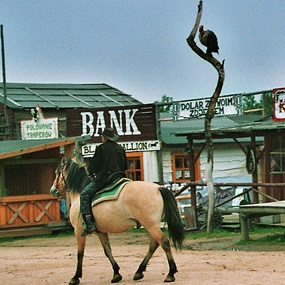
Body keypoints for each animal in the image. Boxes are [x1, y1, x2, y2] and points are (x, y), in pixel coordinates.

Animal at [50, 156, 184, 282]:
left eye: (57, 172)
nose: (53, 190)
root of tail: (158, 188)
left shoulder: (78, 231)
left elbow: (80, 253)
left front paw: (75, 277)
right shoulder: (101, 232)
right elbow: (107, 251)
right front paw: (116, 274)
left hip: (151, 225)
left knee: (164, 242)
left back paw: (170, 273)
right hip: (150, 225)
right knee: (154, 244)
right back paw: (139, 271)